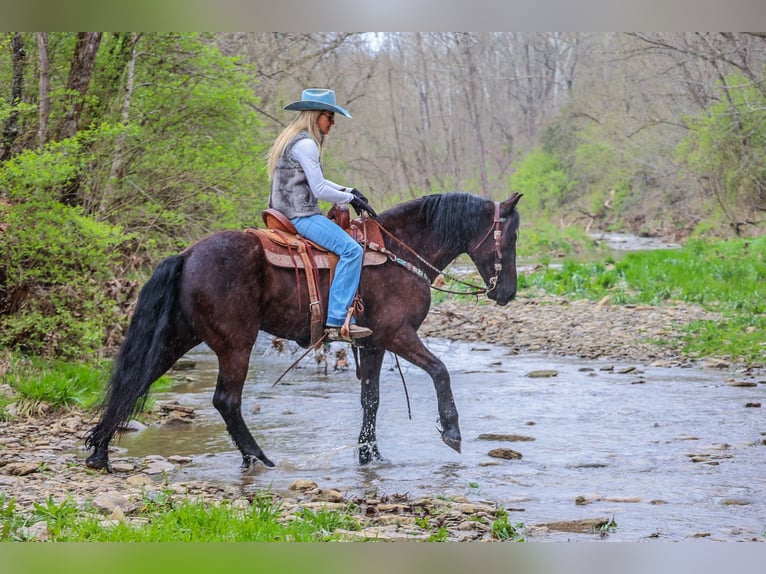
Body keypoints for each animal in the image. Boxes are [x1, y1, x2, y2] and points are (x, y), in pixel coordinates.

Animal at [87, 191, 524, 470]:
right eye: (512, 236)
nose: (507, 292)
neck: (400, 252)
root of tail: (187, 254)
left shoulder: (374, 344)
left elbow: (371, 400)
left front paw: (370, 456)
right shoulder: (398, 334)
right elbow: (439, 371)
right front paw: (451, 431)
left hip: (179, 337)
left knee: (136, 381)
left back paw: (99, 451)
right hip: (235, 344)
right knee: (226, 400)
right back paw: (257, 457)